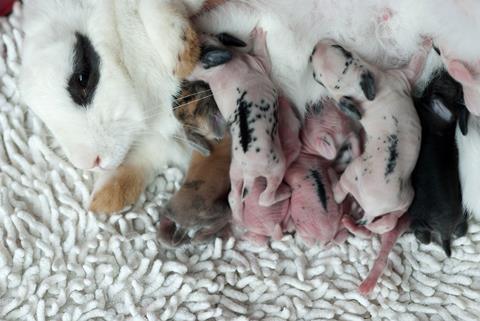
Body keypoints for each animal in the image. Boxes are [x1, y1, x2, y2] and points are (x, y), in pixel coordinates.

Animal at [19, 0, 207, 215]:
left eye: (82, 78)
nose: (89, 162)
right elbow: (145, 159)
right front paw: (104, 199)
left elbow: (152, 6)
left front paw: (182, 55)